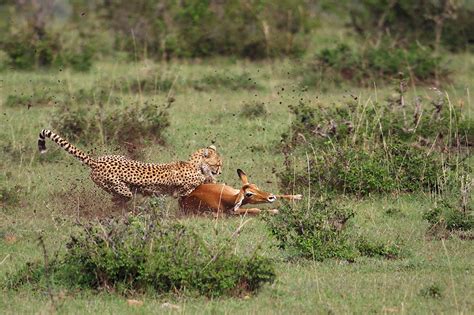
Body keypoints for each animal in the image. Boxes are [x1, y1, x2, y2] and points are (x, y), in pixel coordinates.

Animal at [37, 130, 222, 205]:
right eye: (218, 164)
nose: (220, 170)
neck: (194, 164)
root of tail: (96, 161)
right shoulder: (183, 187)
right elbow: (193, 185)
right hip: (119, 186)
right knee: (122, 195)